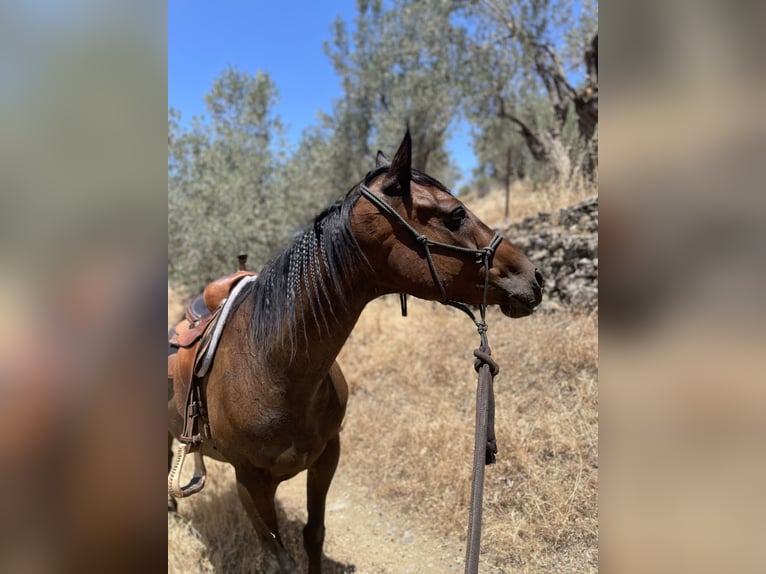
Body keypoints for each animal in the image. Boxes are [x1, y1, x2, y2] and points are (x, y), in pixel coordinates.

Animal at [167, 131, 544, 573]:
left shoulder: (327, 455)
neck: (271, 367)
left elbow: (314, 535)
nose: (534, 276)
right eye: (455, 215)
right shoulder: (249, 481)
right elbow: (279, 557)